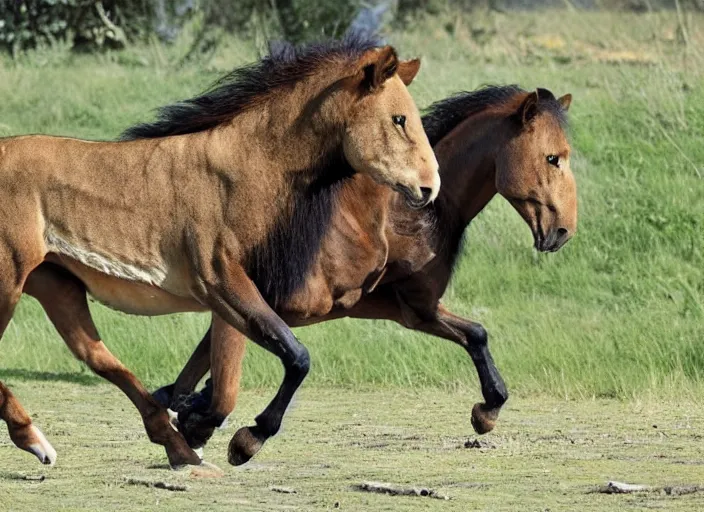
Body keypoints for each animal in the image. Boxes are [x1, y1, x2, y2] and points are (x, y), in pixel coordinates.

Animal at [0, 34, 440, 470]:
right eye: (399, 119)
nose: (429, 187)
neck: (249, 168)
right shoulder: (221, 281)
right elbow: (292, 358)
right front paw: (245, 439)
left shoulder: (240, 295)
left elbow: (235, 373)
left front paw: (197, 423)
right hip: (10, 283)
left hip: (57, 288)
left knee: (99, 359)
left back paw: (168, 448)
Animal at [144, 83, 576, 464]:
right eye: (552, 158)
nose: (563, 231)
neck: (410, 216)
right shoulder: (278, 305)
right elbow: (244, 379)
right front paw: (239, 435)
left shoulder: (406, 308)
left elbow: (476, 334)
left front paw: (487, 411)